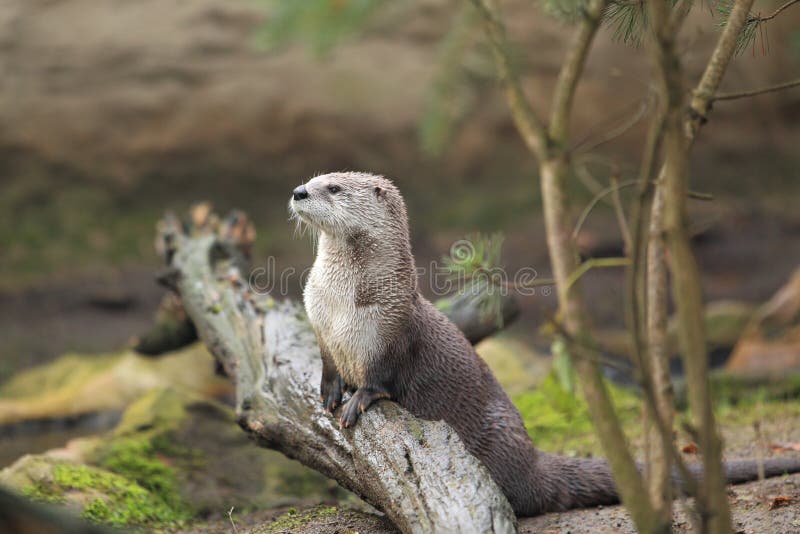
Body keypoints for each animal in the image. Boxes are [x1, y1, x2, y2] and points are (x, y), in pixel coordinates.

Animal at [290, 173, 800, 520]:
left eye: (333, 187)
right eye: (314, 179)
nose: (298, 192)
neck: (343, 301)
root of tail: (534, 461)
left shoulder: (391, 329)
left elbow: (383, 377)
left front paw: (359, 398)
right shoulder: (319, 320)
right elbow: (327, 362)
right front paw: (328, 392)